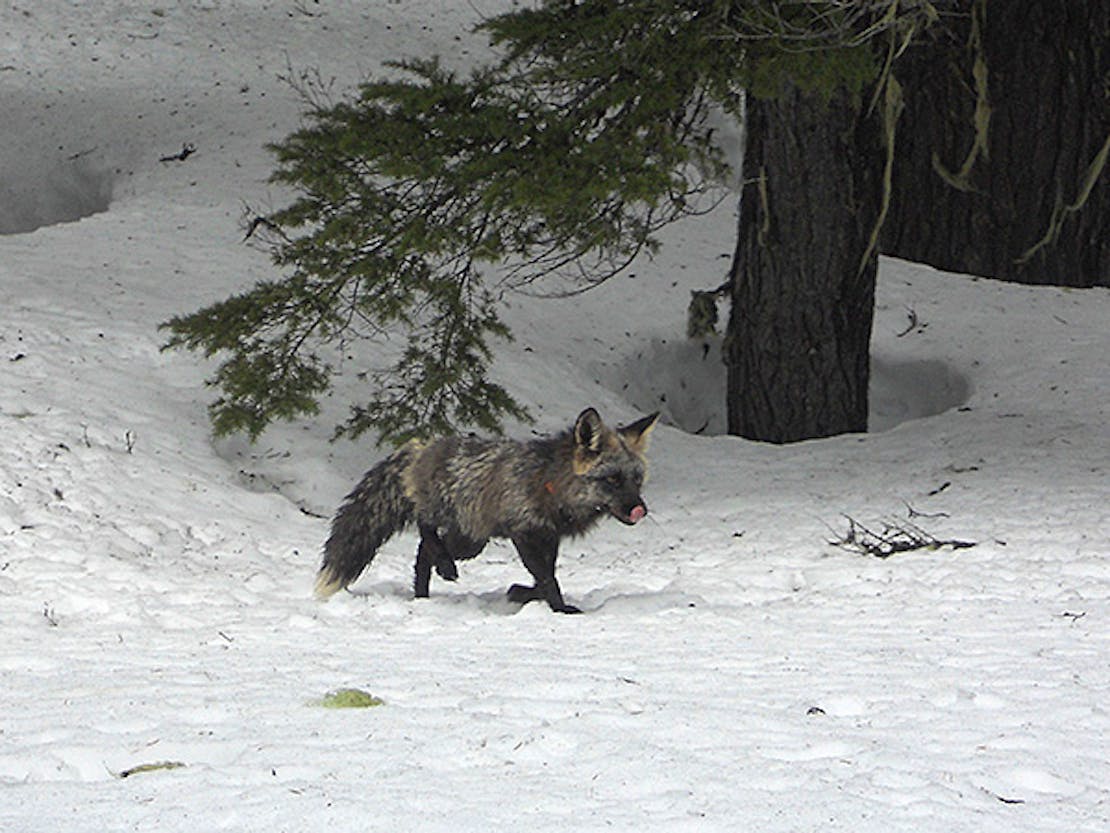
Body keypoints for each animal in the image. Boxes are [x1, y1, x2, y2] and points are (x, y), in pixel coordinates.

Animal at [314, 407, 660, 613]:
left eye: (636, 479)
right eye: (612, 479)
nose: (640, 509)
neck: (550, 485)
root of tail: (420, 445)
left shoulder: (549, 537)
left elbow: (544, 576)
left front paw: (522, 593)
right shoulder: (524, 532)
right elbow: (547, 578)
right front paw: (559, 608)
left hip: (470, 539)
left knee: (423, 553)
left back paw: (423, 593)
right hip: (461, 530)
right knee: (425, 530)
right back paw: (442, 568)